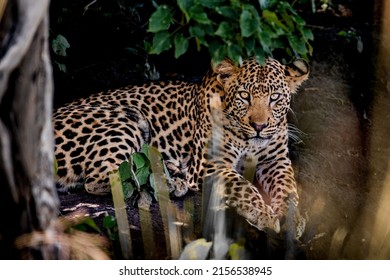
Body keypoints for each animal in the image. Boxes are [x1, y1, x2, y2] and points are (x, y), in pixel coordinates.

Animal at [53, 56, 310, 232]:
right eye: (244, 96)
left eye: (274, 97)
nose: (259, 126)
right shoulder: (209, 165)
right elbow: (243, 186)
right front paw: (265, 215)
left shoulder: (276, 160)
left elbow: (289, 188)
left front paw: (292, 219)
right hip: (126, 117)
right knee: (103, 178)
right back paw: (171, 183)